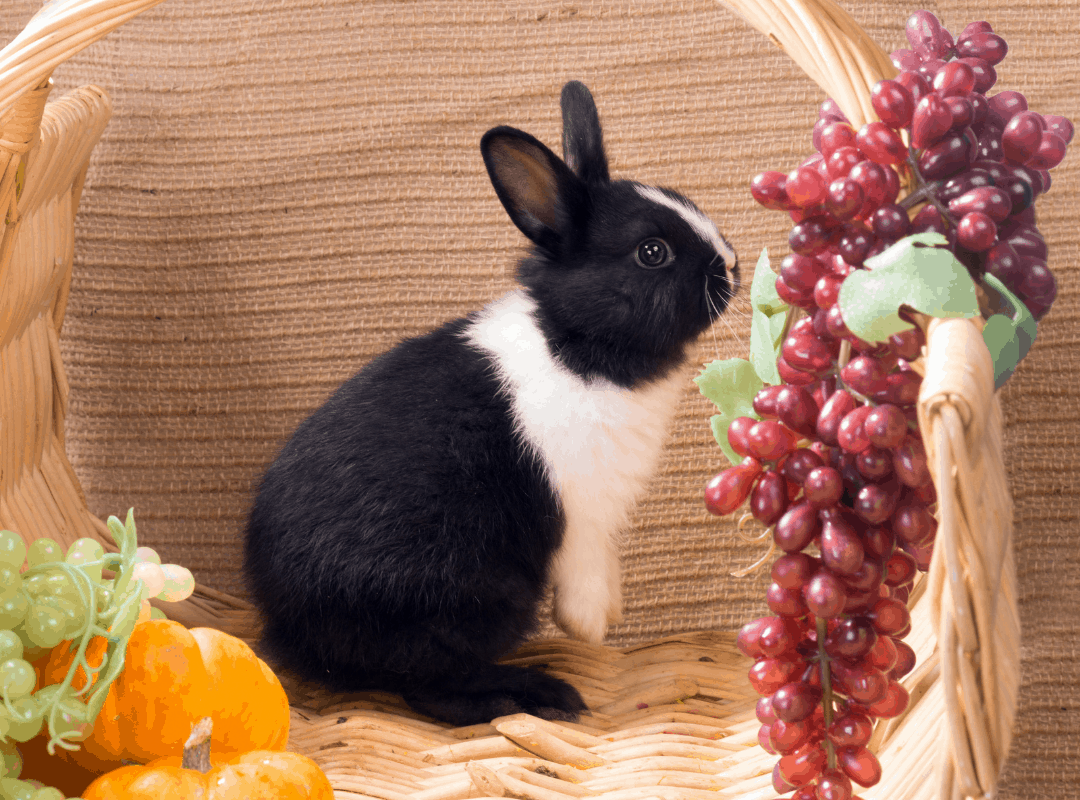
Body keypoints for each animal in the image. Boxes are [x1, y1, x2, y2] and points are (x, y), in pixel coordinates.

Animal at [243, 81, 738, 726]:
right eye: (652, 252)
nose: (732, 265)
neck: (576, 339)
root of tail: (287, 626)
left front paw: (611, 615)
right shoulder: (581, 514)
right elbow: (584, 573)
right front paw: (591, 628)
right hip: (478, 597)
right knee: (434, 687)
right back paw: (537, 695)